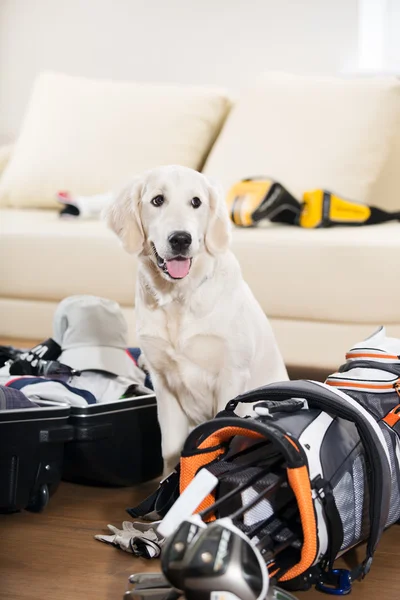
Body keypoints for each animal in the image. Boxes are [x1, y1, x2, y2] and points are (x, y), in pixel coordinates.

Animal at [106, 166, 288, 472]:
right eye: (157, 200)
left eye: (196, 202)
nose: (181, 239)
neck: (179, 298)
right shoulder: (162, 381)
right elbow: (170, 448)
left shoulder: (231, 376)